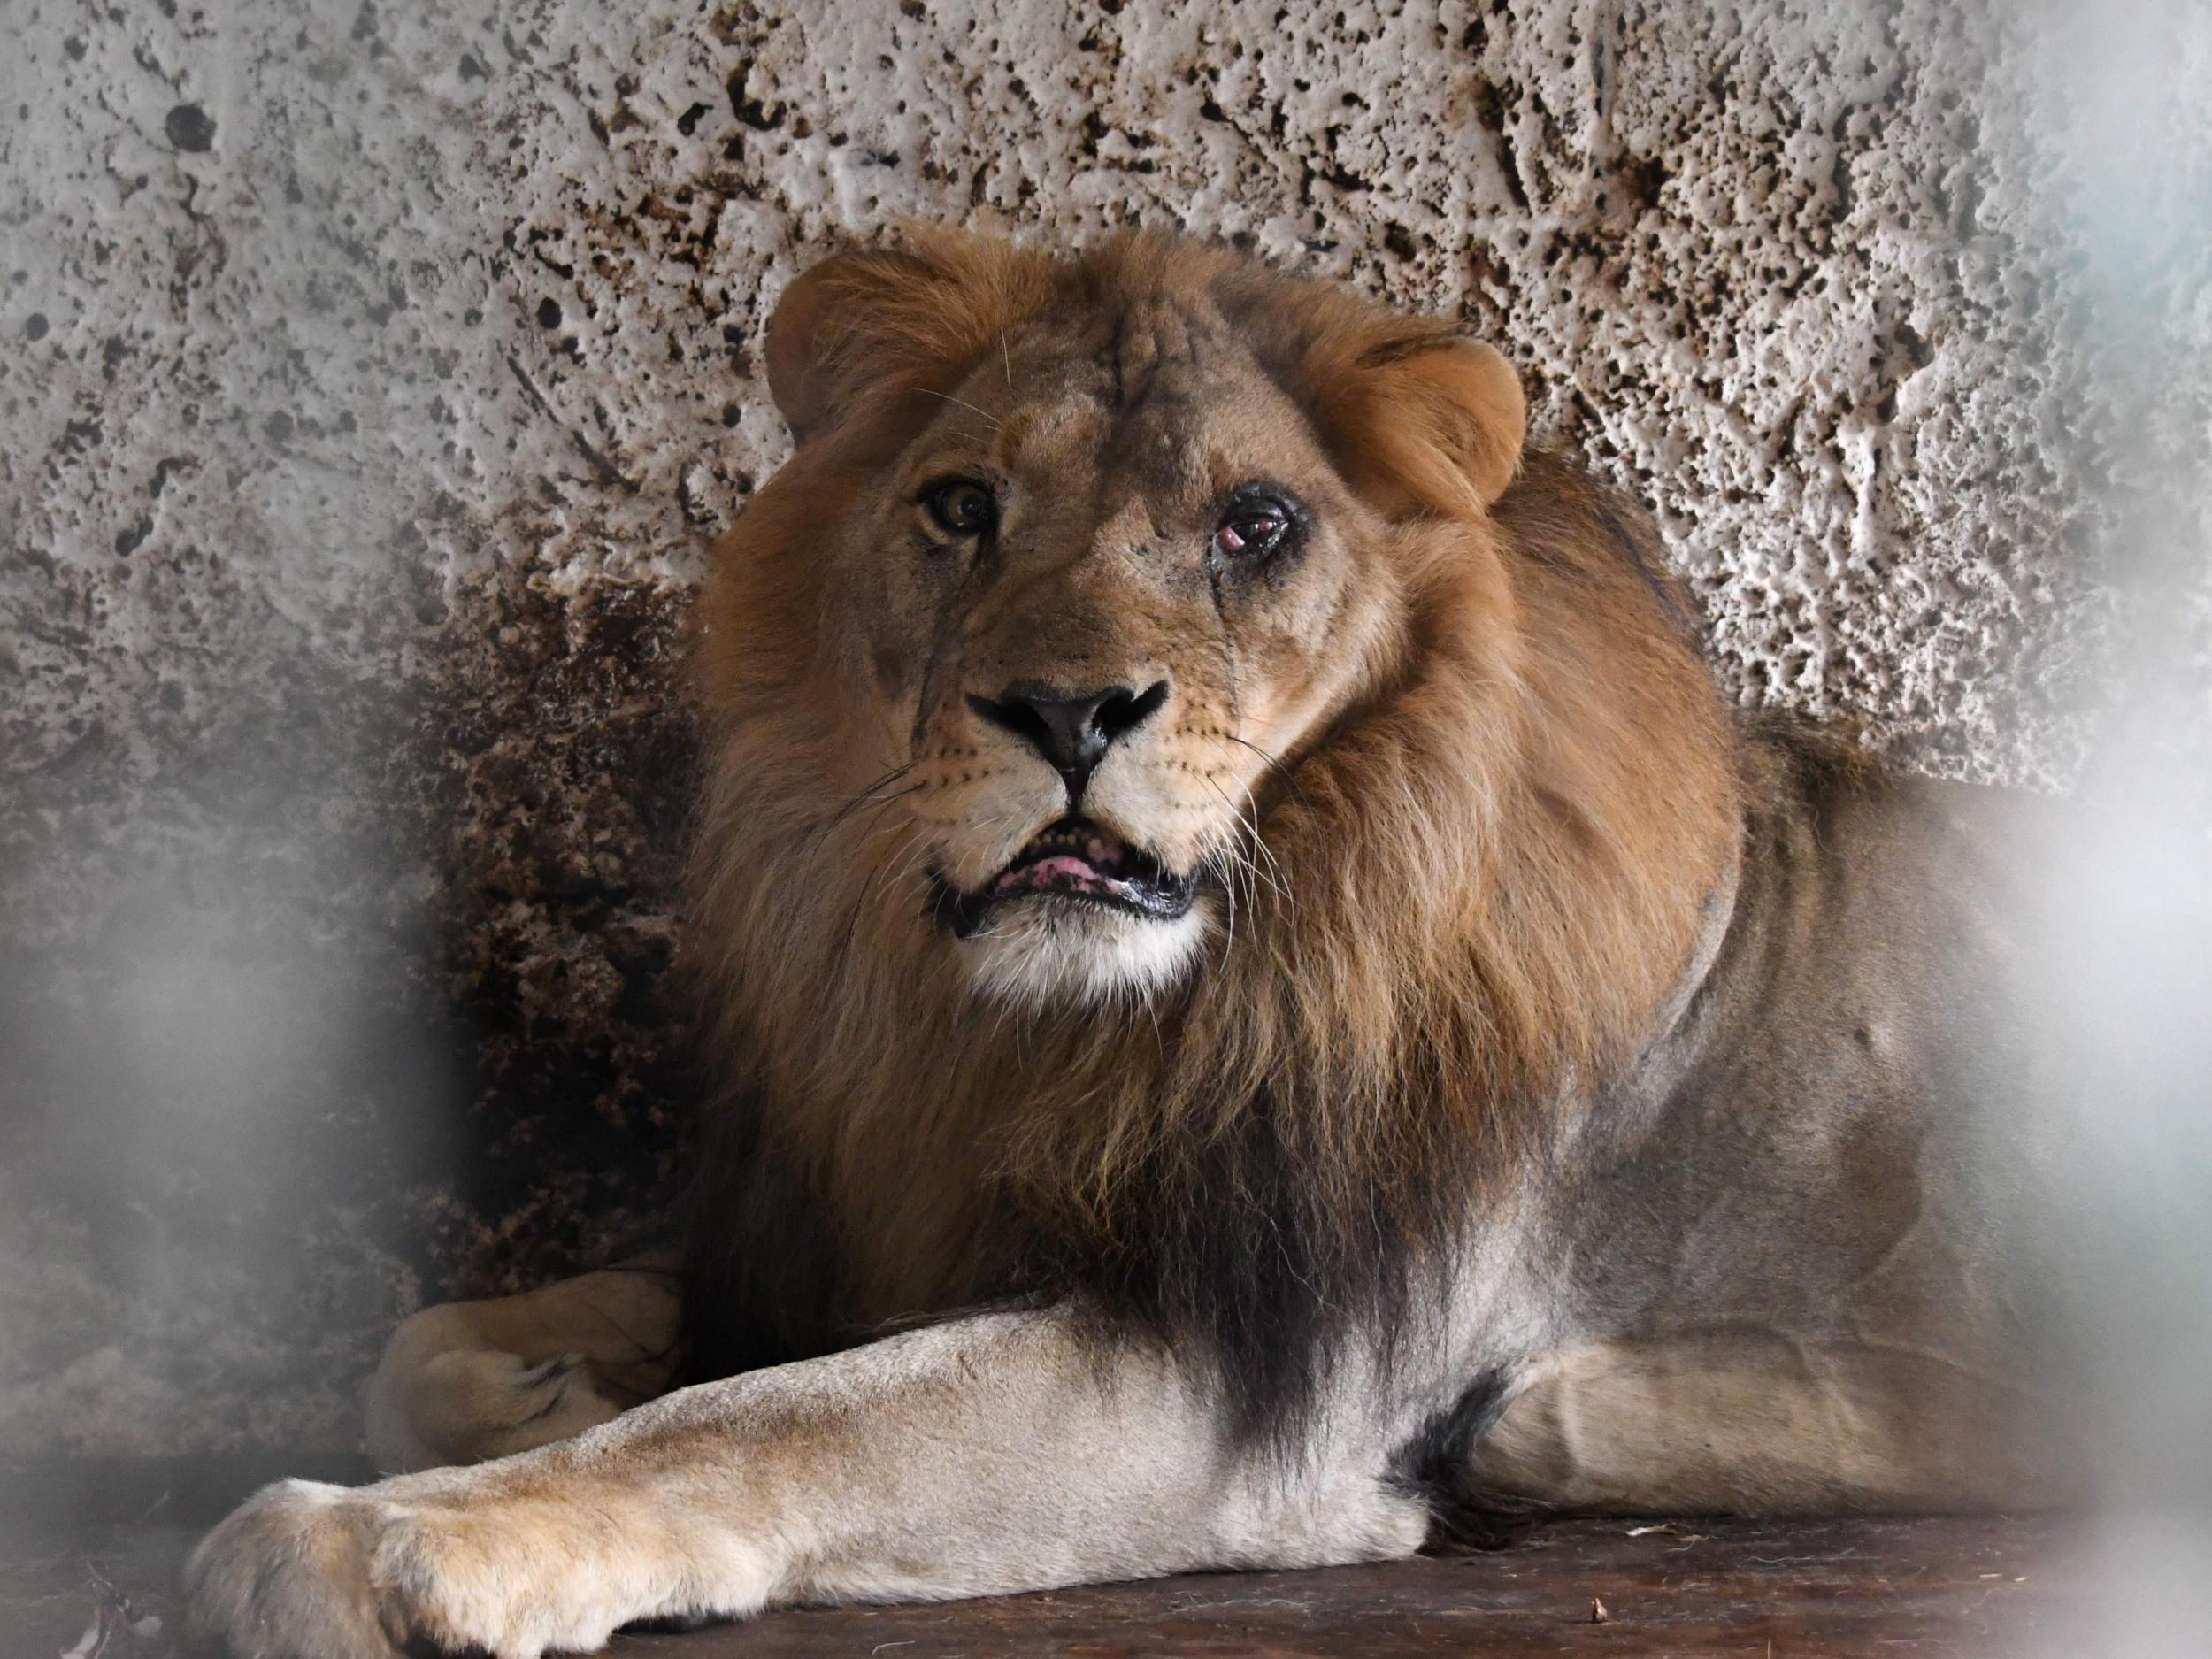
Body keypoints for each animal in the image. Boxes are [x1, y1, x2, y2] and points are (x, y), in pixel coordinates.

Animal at [186, 234, 2070, 1659]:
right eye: (961, 508)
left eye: (1256, 525)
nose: (1067, 710)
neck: (1082, 1024)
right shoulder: (900, 1198)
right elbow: (433, 1349)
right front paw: (541, 1384)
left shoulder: (1256, 1368)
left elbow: (777, 1422)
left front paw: (382, 1546)